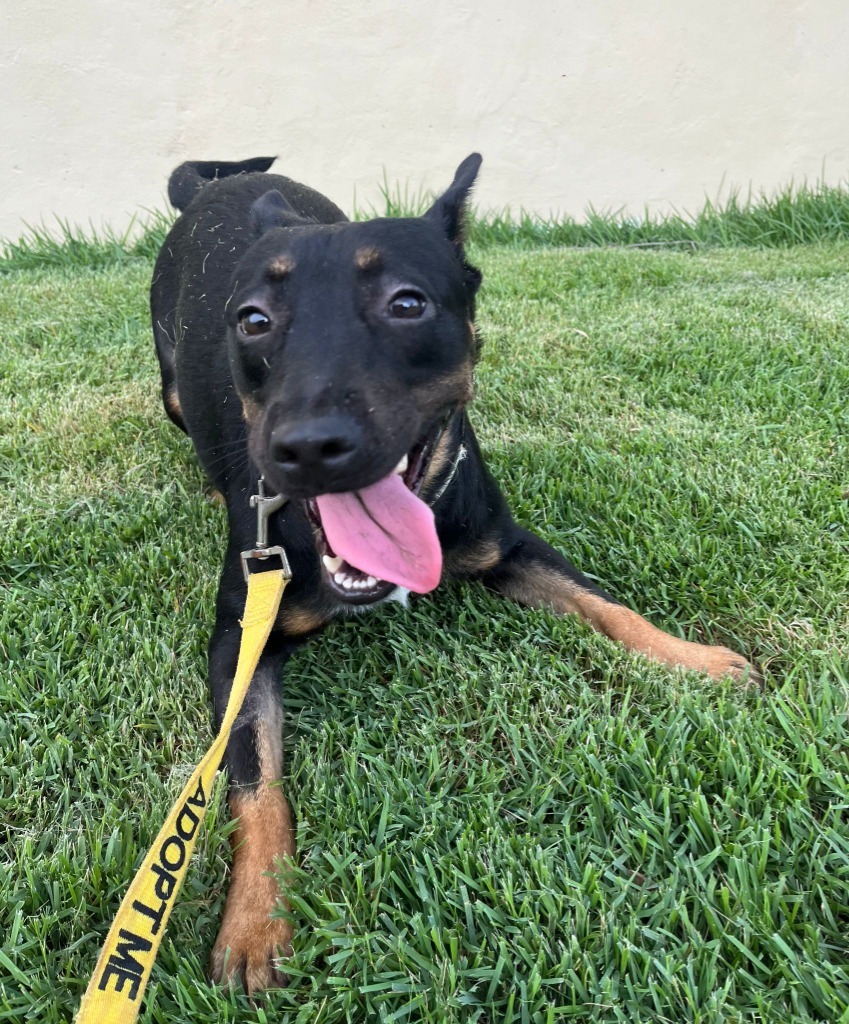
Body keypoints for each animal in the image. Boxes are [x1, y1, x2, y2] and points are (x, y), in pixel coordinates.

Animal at [149, 153, 757, 991]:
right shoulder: (240, 638)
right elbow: (254, 780)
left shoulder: (508, 547)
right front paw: (255, 921)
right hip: (172, 384)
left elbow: (610, 608)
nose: (306, 446)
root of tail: (213, 183)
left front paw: (692, 660)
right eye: (253, 320)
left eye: (407, 303)